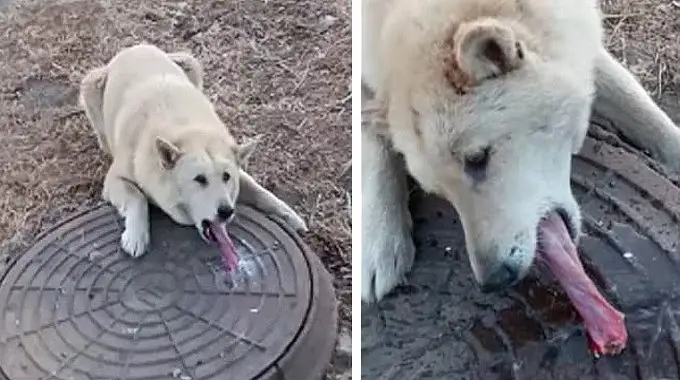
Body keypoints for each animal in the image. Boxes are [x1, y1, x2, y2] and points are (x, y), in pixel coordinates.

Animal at [77, 43, 308, 270]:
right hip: (91, 86)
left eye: (226, 177)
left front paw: (289, 216)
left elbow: (260, 191)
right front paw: (136, 236)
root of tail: (134, 47)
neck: (185, 131)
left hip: (191, 63)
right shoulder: (114, 179)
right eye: (199, 179)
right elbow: (137, 197)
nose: (226, 211)